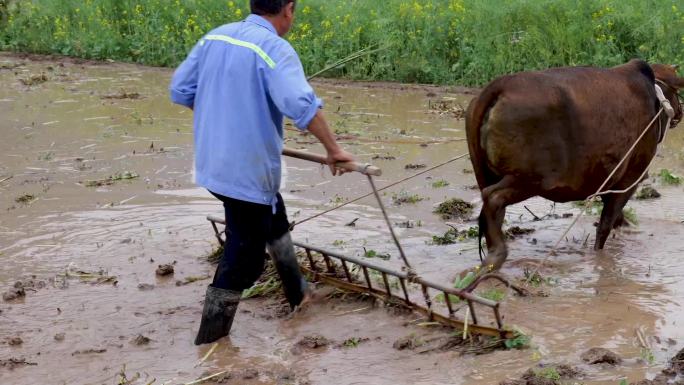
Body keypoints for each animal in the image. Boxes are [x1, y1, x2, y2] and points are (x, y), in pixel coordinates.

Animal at [468, 60, 684, 270]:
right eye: (676, 91)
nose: (680, 112)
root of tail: (501, 85)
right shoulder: (630, 178)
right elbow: (605, 226)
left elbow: (617, 220)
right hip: (528, 180)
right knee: (492, 198)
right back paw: (496, 254)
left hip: (487, 174)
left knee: (490, 207)